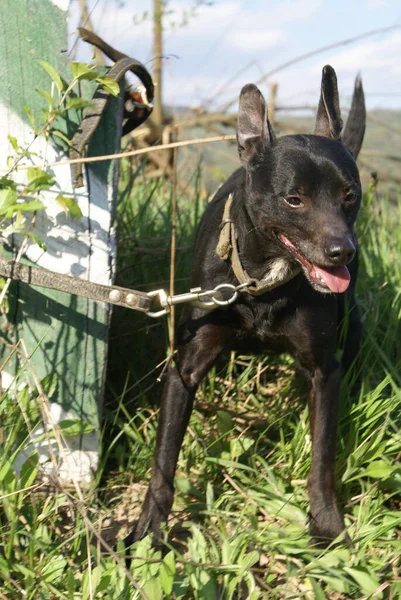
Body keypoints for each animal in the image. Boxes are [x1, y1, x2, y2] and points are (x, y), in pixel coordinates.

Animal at [130, 67, 364, 548]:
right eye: (294, 199)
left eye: (349, 195)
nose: (342, 252)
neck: (263, 283)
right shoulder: (185, 369)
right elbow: (164, 457)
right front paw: (149, 531)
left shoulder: (324, 372)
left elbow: (323, 457)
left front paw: (327, 526)